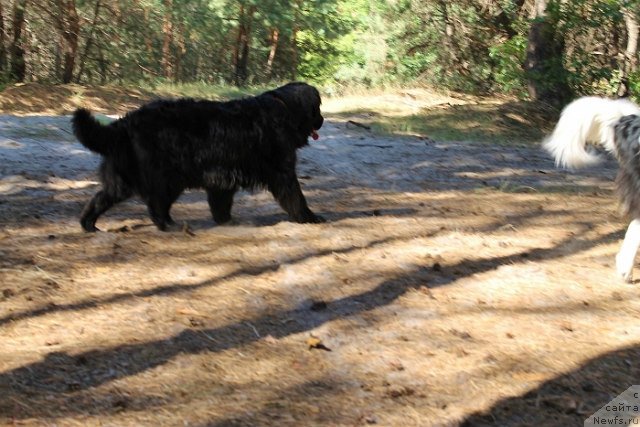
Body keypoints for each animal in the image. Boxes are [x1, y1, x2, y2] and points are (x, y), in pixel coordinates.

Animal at [73, 82, 328, 232]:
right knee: (155, 204)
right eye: (317, 107)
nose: (322, 120)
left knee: (103, 197)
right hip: (162, 177)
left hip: (128, 178)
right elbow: (295, 197)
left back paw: (88, 224)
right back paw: (167, 225)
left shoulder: (223, 177)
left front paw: (225, 221)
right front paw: (308, 217)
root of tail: (126, 122)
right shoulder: (282, 172)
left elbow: (221, 203)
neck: (284, 108)